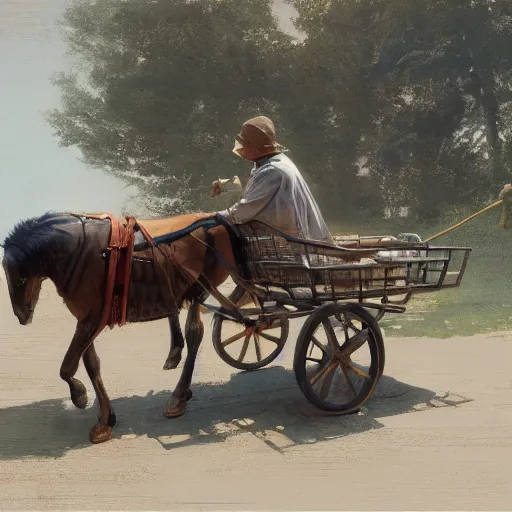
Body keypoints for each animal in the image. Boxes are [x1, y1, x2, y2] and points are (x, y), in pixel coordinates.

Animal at [1, 211, 234, 444]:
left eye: (20, 277)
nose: (21, 316)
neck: (78, 250)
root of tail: (214, 220)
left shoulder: (94, 318)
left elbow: (68, 366)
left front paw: (80, 396)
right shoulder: (87, 319)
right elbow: (91, 363)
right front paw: (105, 420)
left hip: (200, 289)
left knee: (194, 332)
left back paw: (178, 397)